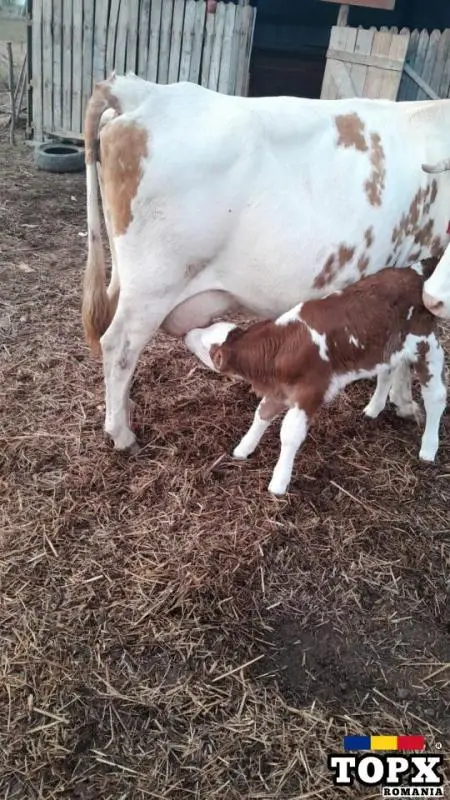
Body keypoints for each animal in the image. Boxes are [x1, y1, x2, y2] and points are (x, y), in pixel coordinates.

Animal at [81, 72, 450, 452]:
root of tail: (140, 89)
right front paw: (404, 403)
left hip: (126, 278)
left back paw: (126, 409)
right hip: (154, 284)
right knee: (118, 346)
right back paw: (121, 433)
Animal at [185, 261, 447, 495]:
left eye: (207, 347)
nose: (188, 333)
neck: (282, 346)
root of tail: (417, 270)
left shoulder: (310, 391)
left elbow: (289, 434)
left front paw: (278, 483)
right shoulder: (280, 389)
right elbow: (262, 414)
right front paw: (243, 448)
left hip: (426, 345)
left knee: (436, 395)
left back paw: (428, 448)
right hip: (386, 349)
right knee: (387, 372)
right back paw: (373, 409)